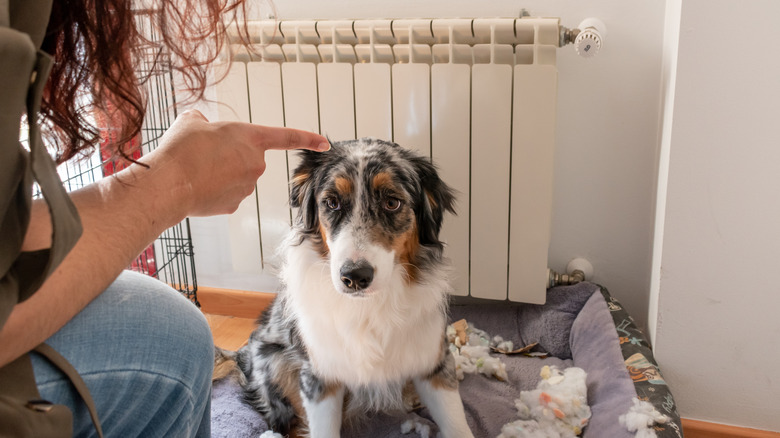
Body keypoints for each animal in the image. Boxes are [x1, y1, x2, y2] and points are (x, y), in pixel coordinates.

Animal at [218, 139, 476, 436]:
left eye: (392, 202)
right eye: (332, 202)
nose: (355, 277)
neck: (368, 306)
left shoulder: (433, 362)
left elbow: (456, 424)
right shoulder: (320, 376)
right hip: (273, 362)